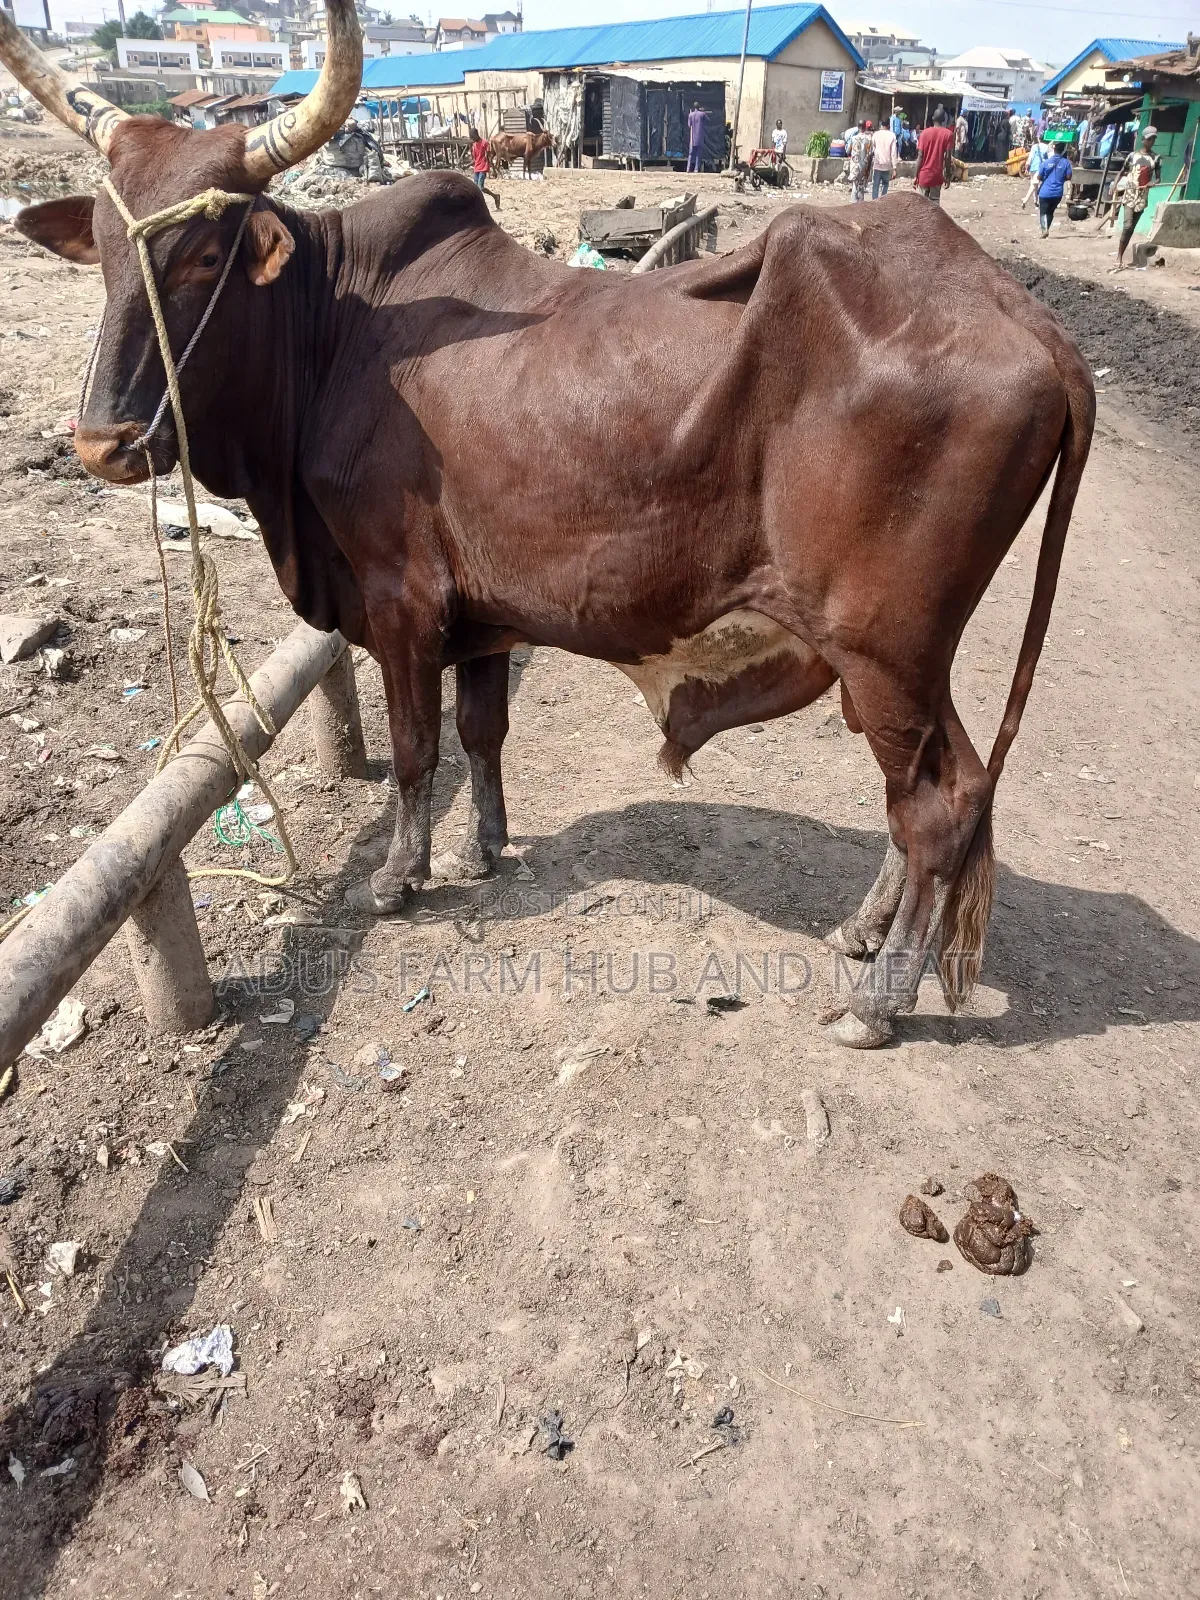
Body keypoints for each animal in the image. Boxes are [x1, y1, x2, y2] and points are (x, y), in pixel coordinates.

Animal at [0, 1, 1094, 1049]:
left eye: (204, 254)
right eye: (105, 249)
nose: (104, 440)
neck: (338, 329)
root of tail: (1023, 317)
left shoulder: (400, 599)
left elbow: (415, 750)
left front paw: (399, 875)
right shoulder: (484, 612)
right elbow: (481, 733)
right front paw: (482, 846)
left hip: (885, 648)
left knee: (939, 806)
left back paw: (878, 997)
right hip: (898, 662)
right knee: (929, 800)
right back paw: (863, 932)